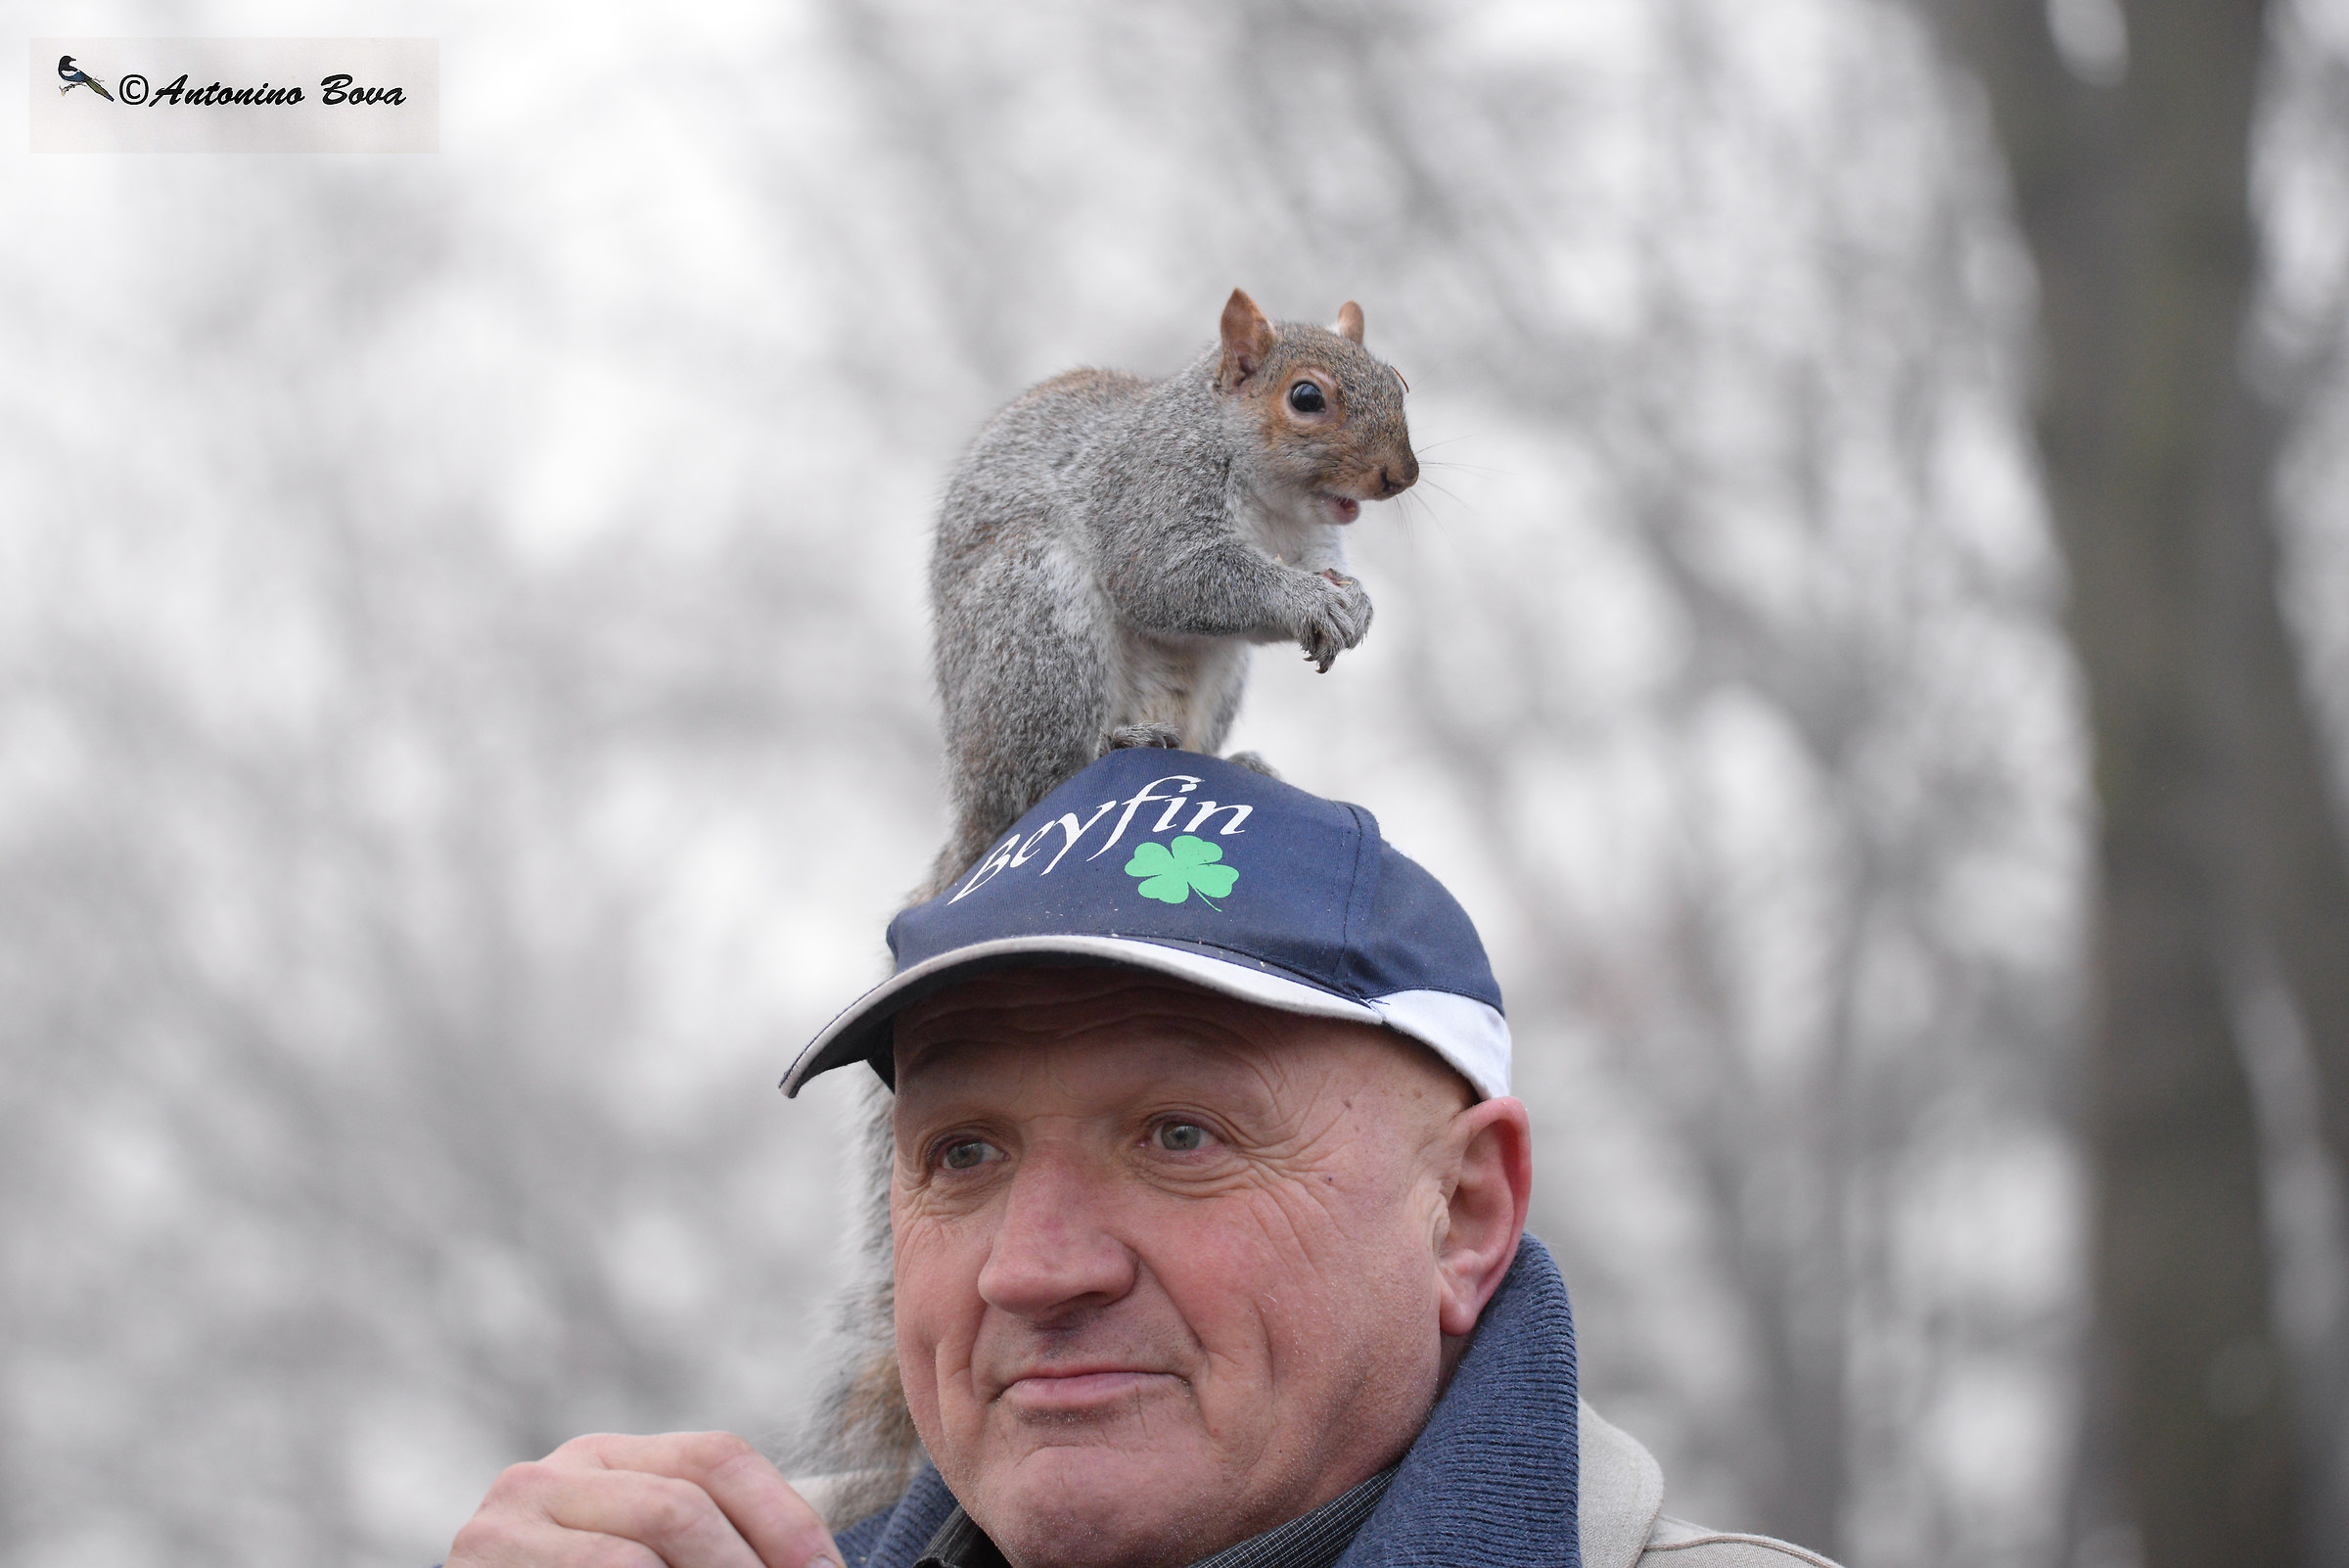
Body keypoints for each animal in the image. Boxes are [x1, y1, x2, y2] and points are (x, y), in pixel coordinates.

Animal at [924, 288, 1419, 896]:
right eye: (1306, 397)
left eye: (1398, 382)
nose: (1402, 475)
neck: (1275, 506)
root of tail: (969, 810)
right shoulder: (1150, 488)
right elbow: (1164, 577)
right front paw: (1309, 599)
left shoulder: (1314, 541)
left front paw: (1357, 604)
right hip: (1038, 622)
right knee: (1033, 782)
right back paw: (1113, 745)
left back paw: (1238, 762)